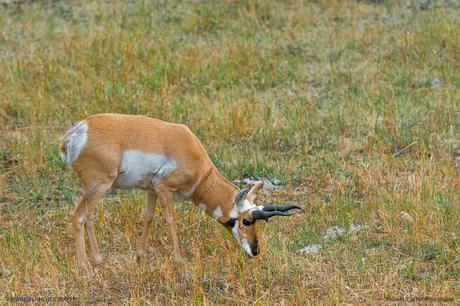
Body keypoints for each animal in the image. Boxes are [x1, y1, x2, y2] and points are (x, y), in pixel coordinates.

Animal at [59, 113, 304, 272]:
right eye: (246, 221)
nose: (255, 251)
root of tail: (76, 134)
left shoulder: (151, 190)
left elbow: (148, 217)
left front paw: (140, 257)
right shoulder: (164, 188)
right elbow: (170, 219)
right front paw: (178, 259)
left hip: (95, 190)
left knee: (88, 217)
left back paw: (97, 260)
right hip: (98, 187)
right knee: (79, 216)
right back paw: (86, 266)